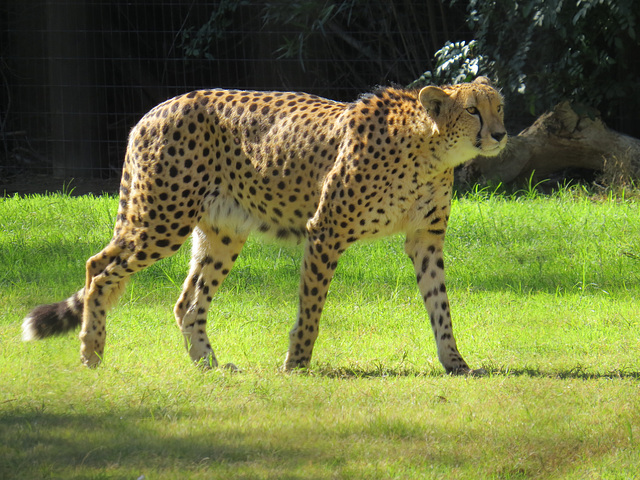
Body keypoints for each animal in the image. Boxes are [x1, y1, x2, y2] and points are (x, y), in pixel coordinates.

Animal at [22, 76, 507, 374]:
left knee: (185, 303)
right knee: (100, 269)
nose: (501, 134)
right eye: (472, 111)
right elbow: (311, 307)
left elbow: (440, 305)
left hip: (221, 233)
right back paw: (91, 351)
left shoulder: (426, 239)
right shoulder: (325, 231)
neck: (430, 149)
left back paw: (209, 366)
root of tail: (159, 107)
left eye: (499, 107)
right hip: (162, 220)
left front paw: (456, 362)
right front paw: (297, 363)